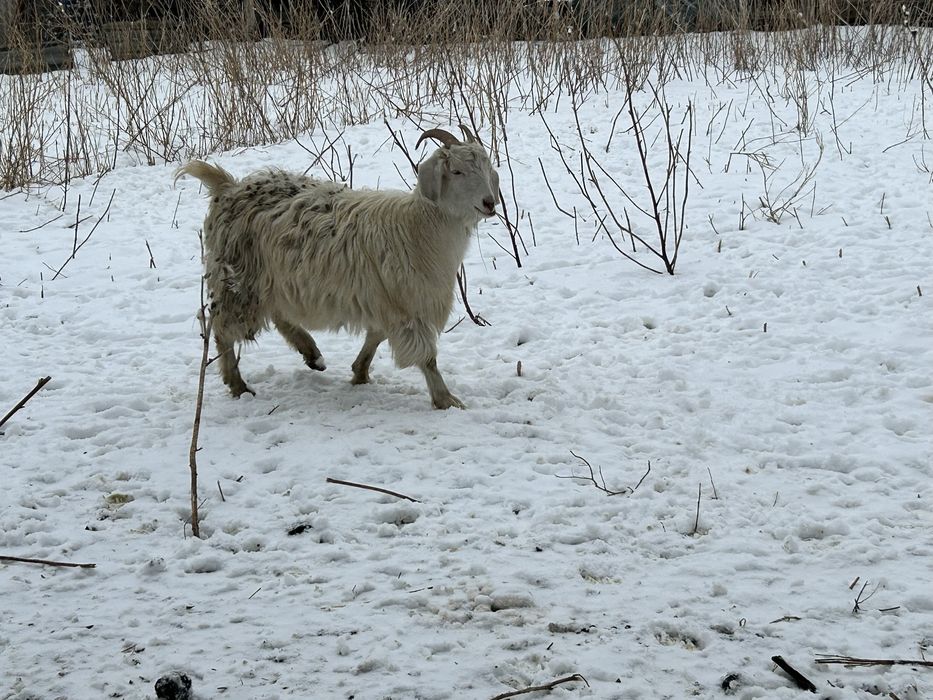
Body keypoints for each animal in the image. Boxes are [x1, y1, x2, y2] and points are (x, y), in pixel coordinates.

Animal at [175, 125, 499, 409]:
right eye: (456, 171)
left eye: (486, 167)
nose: (490, 203)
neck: (416, 226)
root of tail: (228, 186)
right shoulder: (407, 308)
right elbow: (427, 357)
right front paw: (446, 399)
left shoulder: (384, 300)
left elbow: (375, 336)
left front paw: (360, 372)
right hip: (240, 278)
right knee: (222, 328)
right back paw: (238, 384)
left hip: (275, 278)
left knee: (279, 315)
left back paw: (312, 355)